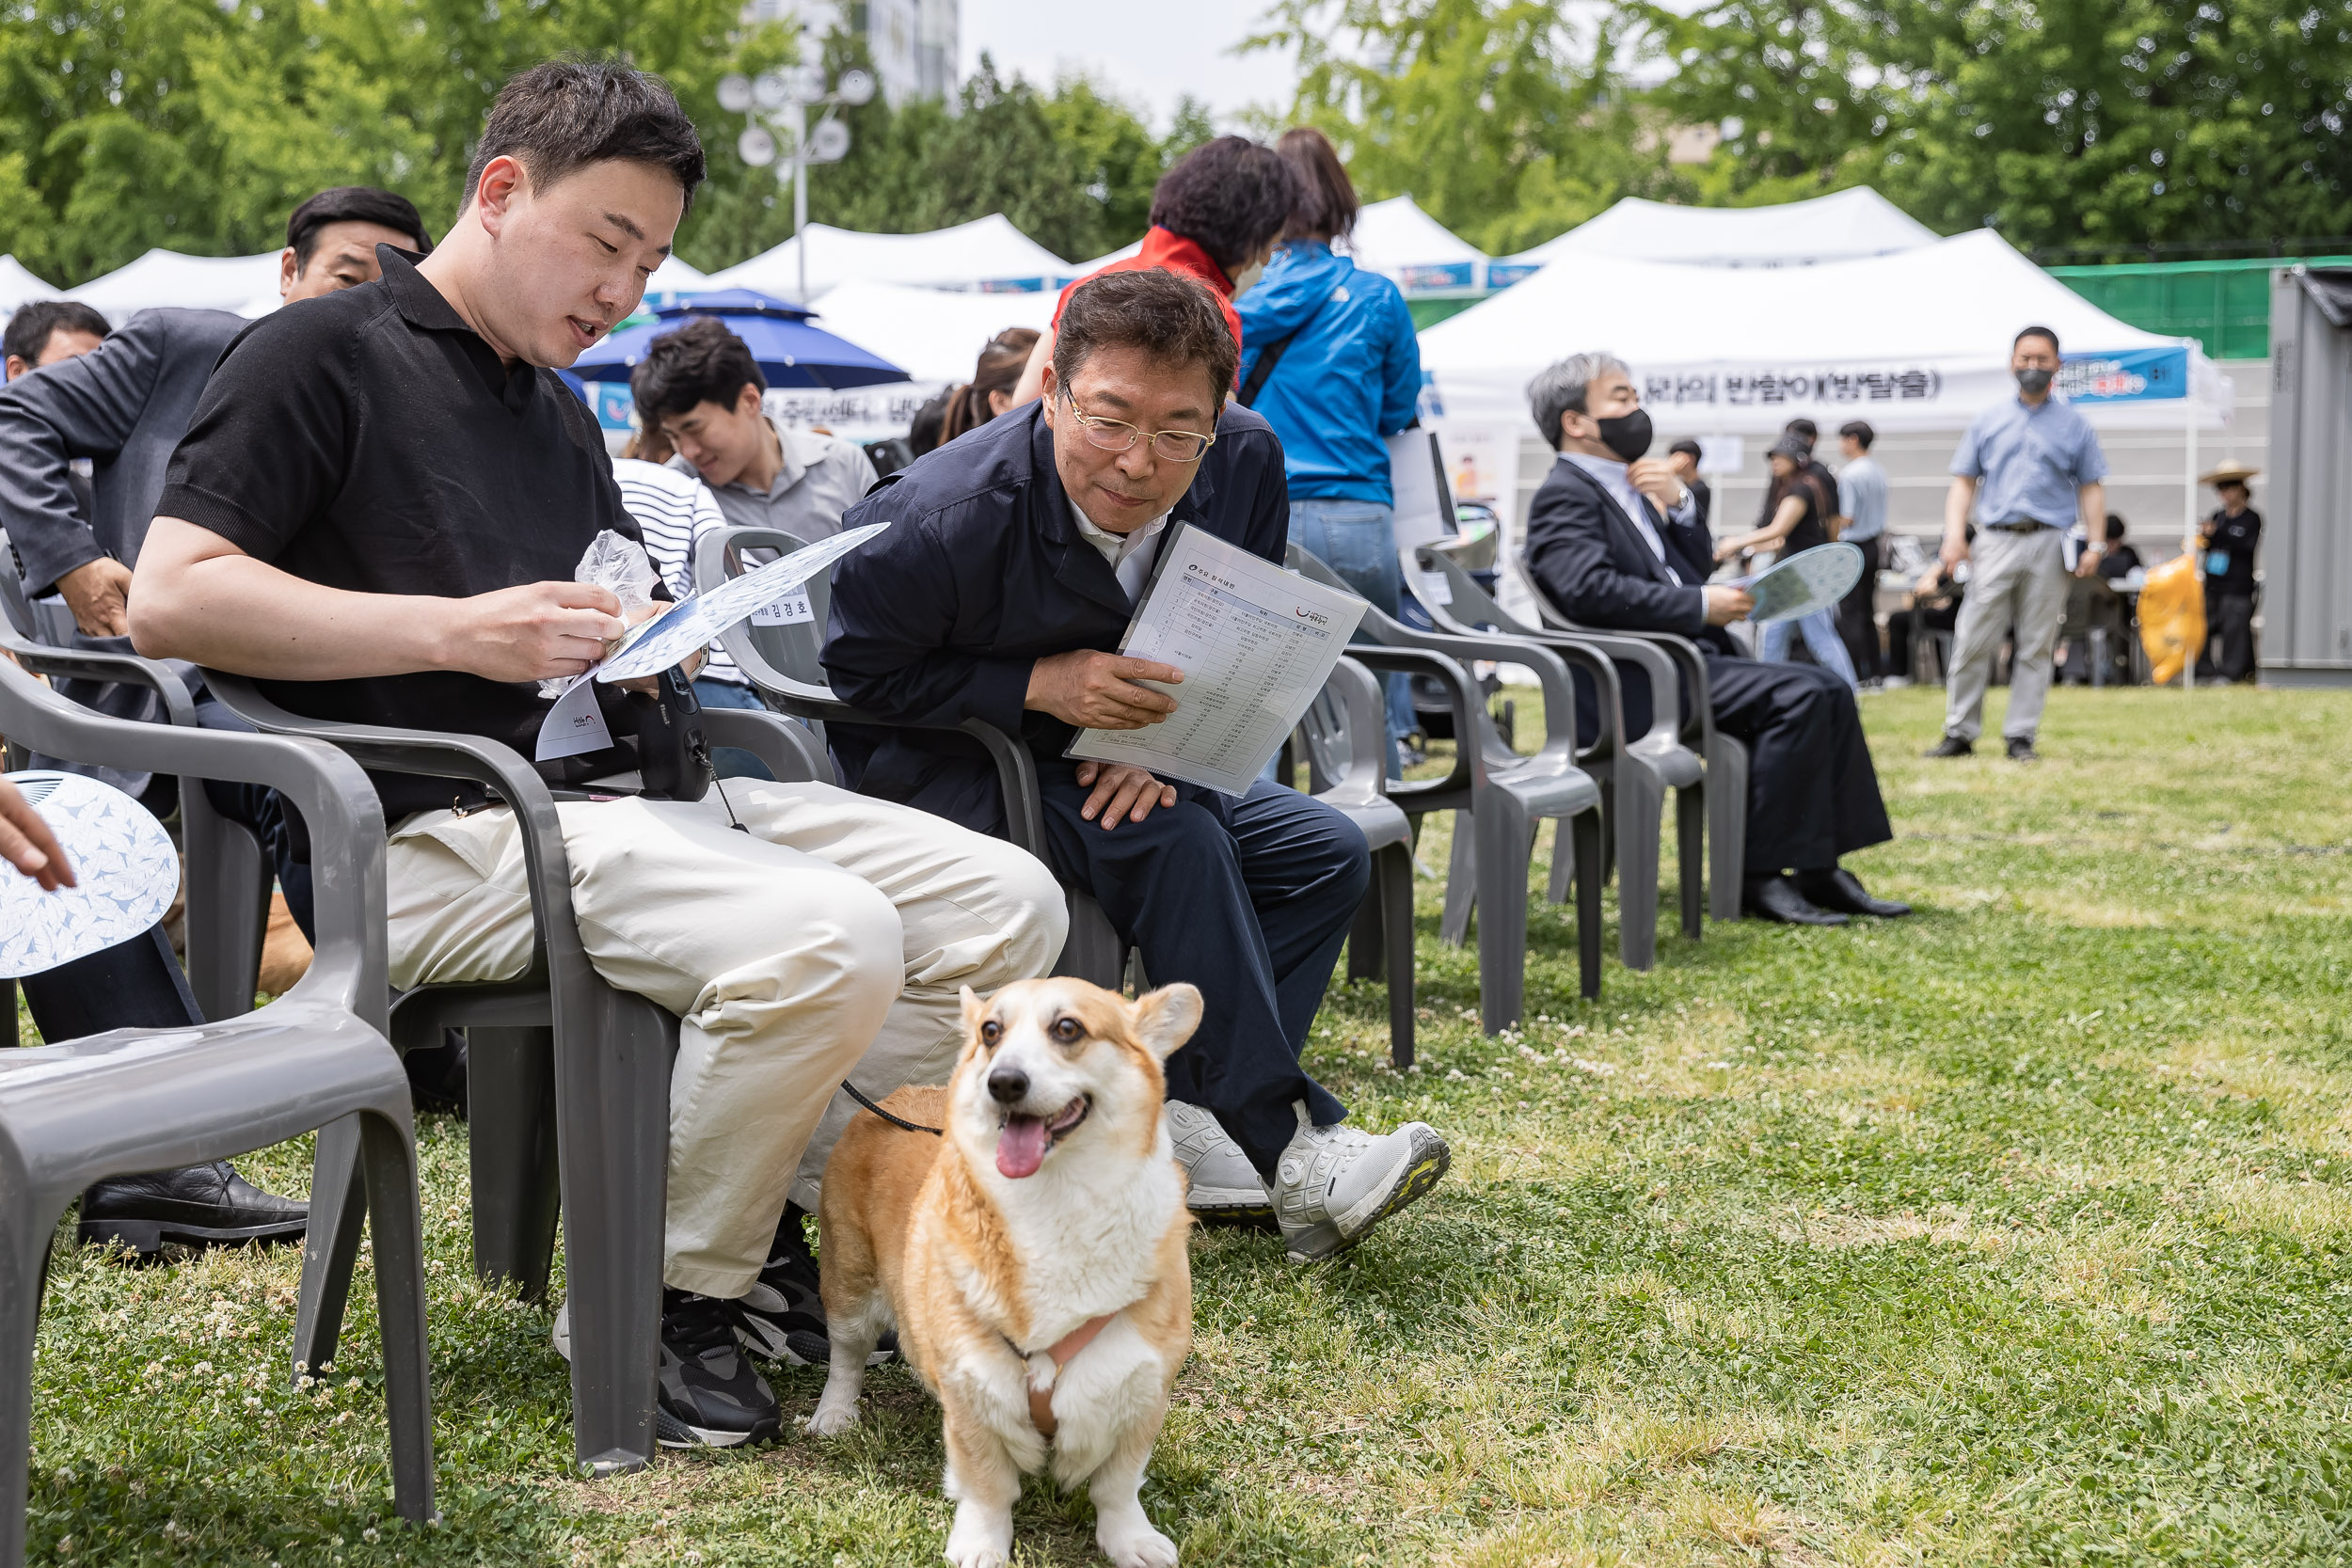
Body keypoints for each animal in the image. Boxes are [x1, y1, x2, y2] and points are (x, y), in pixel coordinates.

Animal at [814, 982, 1214, 1568]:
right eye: (991, 1031)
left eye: (1068, 1028)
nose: (1002, 1082)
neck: (1054, 1203)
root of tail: (891, 1099)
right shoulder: (973, 1389)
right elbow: (986, 1486)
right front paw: (981, 1546)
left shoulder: (1141, 1387)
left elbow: (1118, 1486)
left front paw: (1131, 1541)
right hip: (849, 1281)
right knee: (846, 1354)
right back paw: (834, 1416)